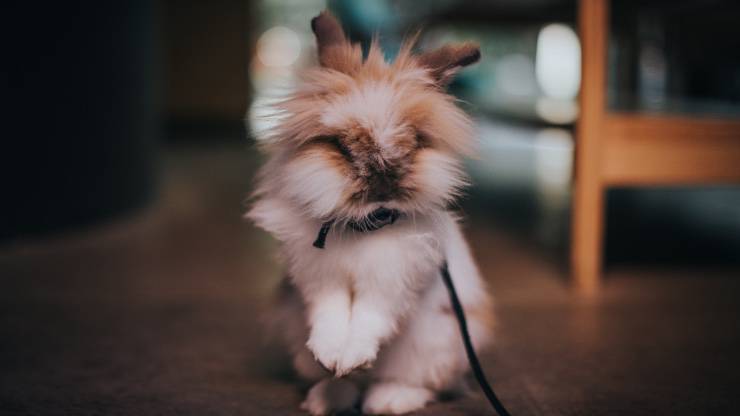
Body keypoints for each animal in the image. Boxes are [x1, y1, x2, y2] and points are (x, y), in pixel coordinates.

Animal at [247, 11, 493, 415]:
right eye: (340, 146)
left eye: (414, 141)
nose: (382, 181)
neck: (364, 225)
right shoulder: (318, 279)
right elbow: (330, 314)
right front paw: (332, 357)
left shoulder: (393, 281)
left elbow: (369, 317)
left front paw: (353, 357)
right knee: (348, 384)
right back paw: (327, 397)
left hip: (437, 344)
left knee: (415, 382)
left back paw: (388, 400)